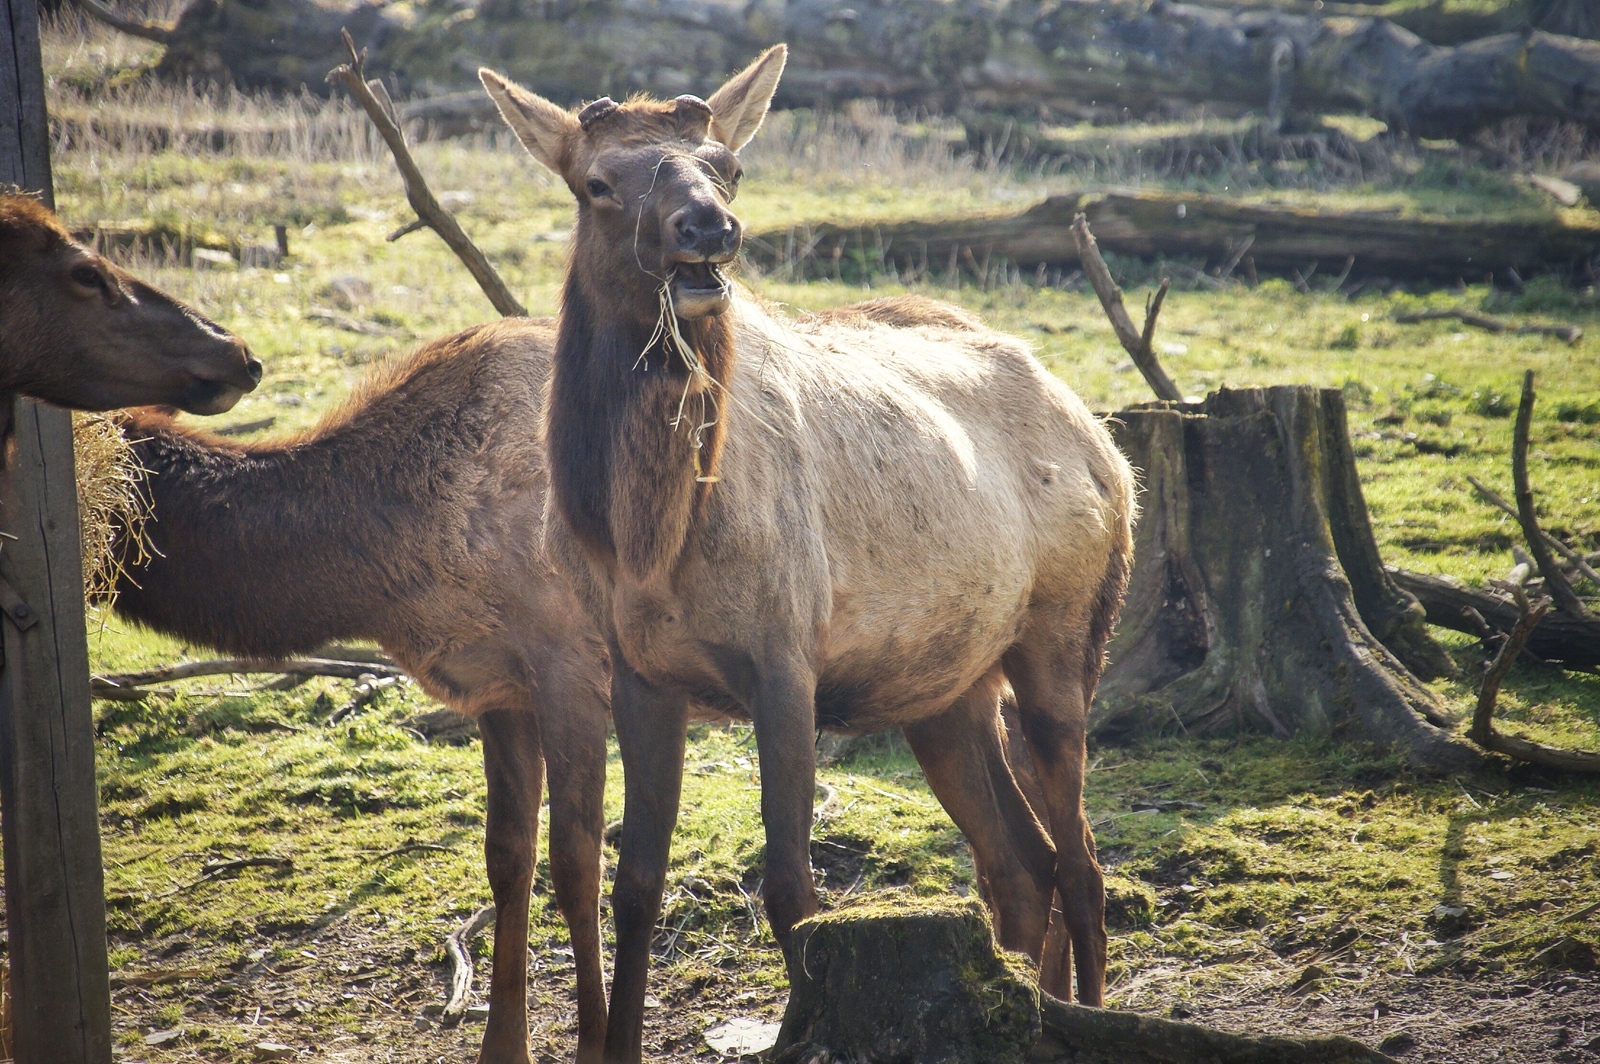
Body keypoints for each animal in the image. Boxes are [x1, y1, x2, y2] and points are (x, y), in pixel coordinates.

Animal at [480, 43, 1132, 1062]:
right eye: (597, 182)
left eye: (728, 164)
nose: (708, 227)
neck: (644, 539)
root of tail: (1108, 445)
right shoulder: (639, 670)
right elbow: (637, 881)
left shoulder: (786, 654)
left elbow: (793, 886)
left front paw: (797, 1027)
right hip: (945, 690)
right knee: (1020, 865)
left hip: (1066, 638)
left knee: (1085, 866)